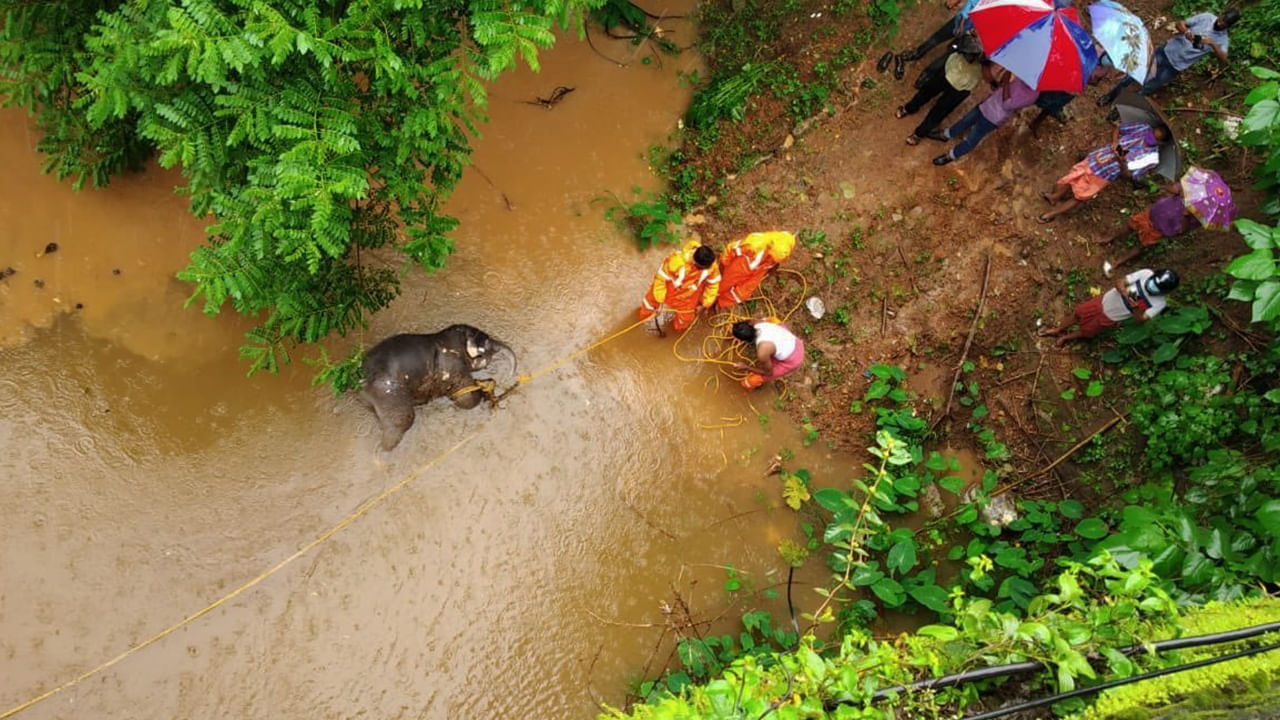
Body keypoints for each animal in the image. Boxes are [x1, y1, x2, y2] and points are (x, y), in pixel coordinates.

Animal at [355, 324, 514, 448]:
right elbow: (465, 397)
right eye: (488, 344)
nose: (509, 375)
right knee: (402, 421)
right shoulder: (451, 369)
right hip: (388, 392)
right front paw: (483, 391)